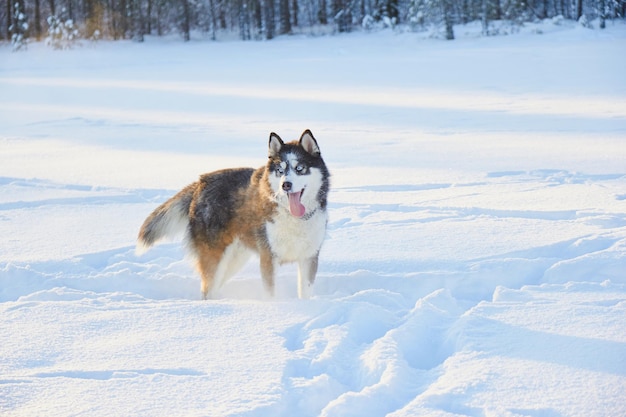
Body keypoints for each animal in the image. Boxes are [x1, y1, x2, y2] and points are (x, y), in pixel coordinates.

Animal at [137, 130, 330, 300]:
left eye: (300, 168)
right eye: (280, 170)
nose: (286, 185)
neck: (293, 218)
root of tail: (200, 182)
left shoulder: (309, 257)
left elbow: (305, 292)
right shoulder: (268, 258)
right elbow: (271, 294)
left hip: (235, 259)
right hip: (215, 257)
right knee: (207, 289)